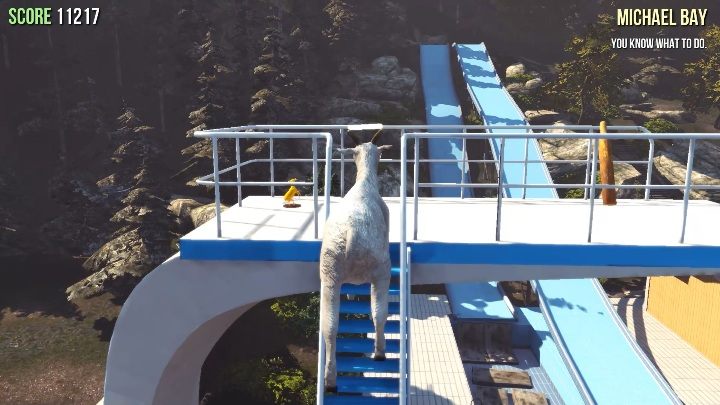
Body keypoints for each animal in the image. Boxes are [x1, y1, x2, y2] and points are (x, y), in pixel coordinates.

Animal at [319, 133, 392, 391]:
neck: (364, 184)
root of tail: (351, 233)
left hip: (329, 270)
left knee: (329, 326)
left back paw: (330, 379)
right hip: (381, 268)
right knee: (379, 313)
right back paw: (379, 352)